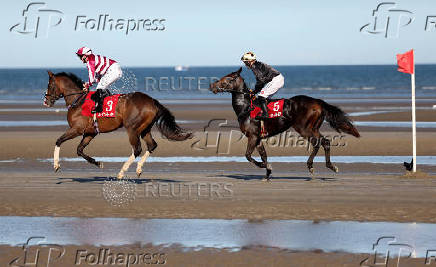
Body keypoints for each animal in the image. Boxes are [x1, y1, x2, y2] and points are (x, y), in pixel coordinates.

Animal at [43, 72, 192, 179]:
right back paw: (138, 169)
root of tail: (152, 101)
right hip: (145, 129)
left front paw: (56, 165)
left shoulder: (77, 129)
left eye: (49, 85)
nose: (45, 101)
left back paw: (121, 172)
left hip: (132, 128)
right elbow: (79, 150)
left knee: (137, 149)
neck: (78, 101)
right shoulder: (90, 132)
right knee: (152, 145)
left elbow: (59, 141)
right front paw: (98, 163)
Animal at [209, 67, 360, 181]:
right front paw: (267, 173)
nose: (212, 86)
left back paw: (311, 166)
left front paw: (265, 167)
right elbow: (263, 155)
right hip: (314, 128)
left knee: (317, 143)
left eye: (228, 79)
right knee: (325, 142)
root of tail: (318, 102)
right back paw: (331, 166)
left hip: (304, 128)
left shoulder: (252, 136)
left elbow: (248, 156)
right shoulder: (258, 138)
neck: (246, 108)